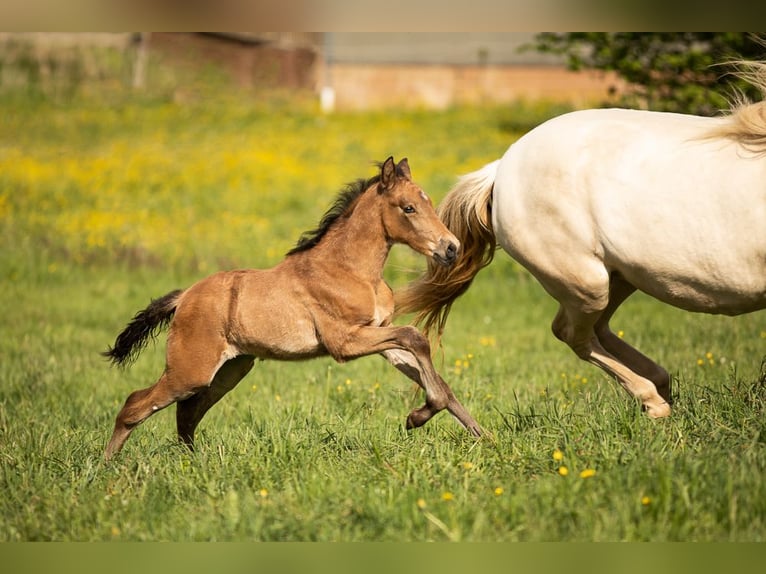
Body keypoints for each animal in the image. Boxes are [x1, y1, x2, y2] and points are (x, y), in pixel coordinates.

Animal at [104, 158, 484, 464]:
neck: (350, 269)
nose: (451, 248)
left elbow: (429, 369)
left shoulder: (379, 335)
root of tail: (184, 297)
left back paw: (194, 463)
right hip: (189, 371)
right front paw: (415, 418)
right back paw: (107, 467)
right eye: (407, 208)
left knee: (186, 414)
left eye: (428, 203)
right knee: (135, 405)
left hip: (228, 371)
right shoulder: (345, 342)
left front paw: (483, 437)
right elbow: (414, 336)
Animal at [400, 64, 766, 418]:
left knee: (597, 329)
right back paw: (654, 400)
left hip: (618, 278)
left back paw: (661, 385)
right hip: (588, 283)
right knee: (573, 332)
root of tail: (500, 168)